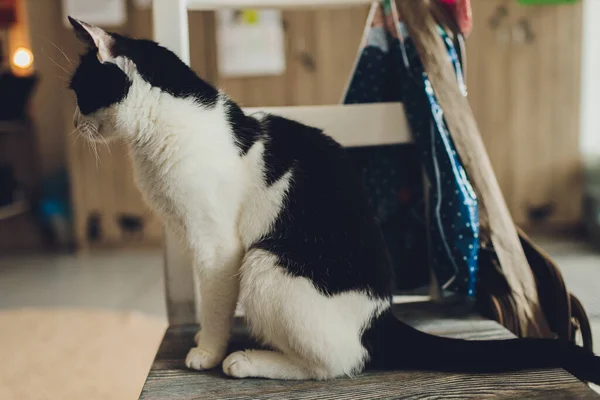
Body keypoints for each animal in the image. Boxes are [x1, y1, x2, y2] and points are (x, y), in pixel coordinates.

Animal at [67, 18, 600, 384]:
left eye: (79, 91)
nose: (72, 124)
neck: (160, 131)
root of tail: (381, 315)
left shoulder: (218, 249)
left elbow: (215, 305)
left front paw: (208, 349)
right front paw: (202, 341)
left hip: (263, 264)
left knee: (338, 363)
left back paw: (249, 360)